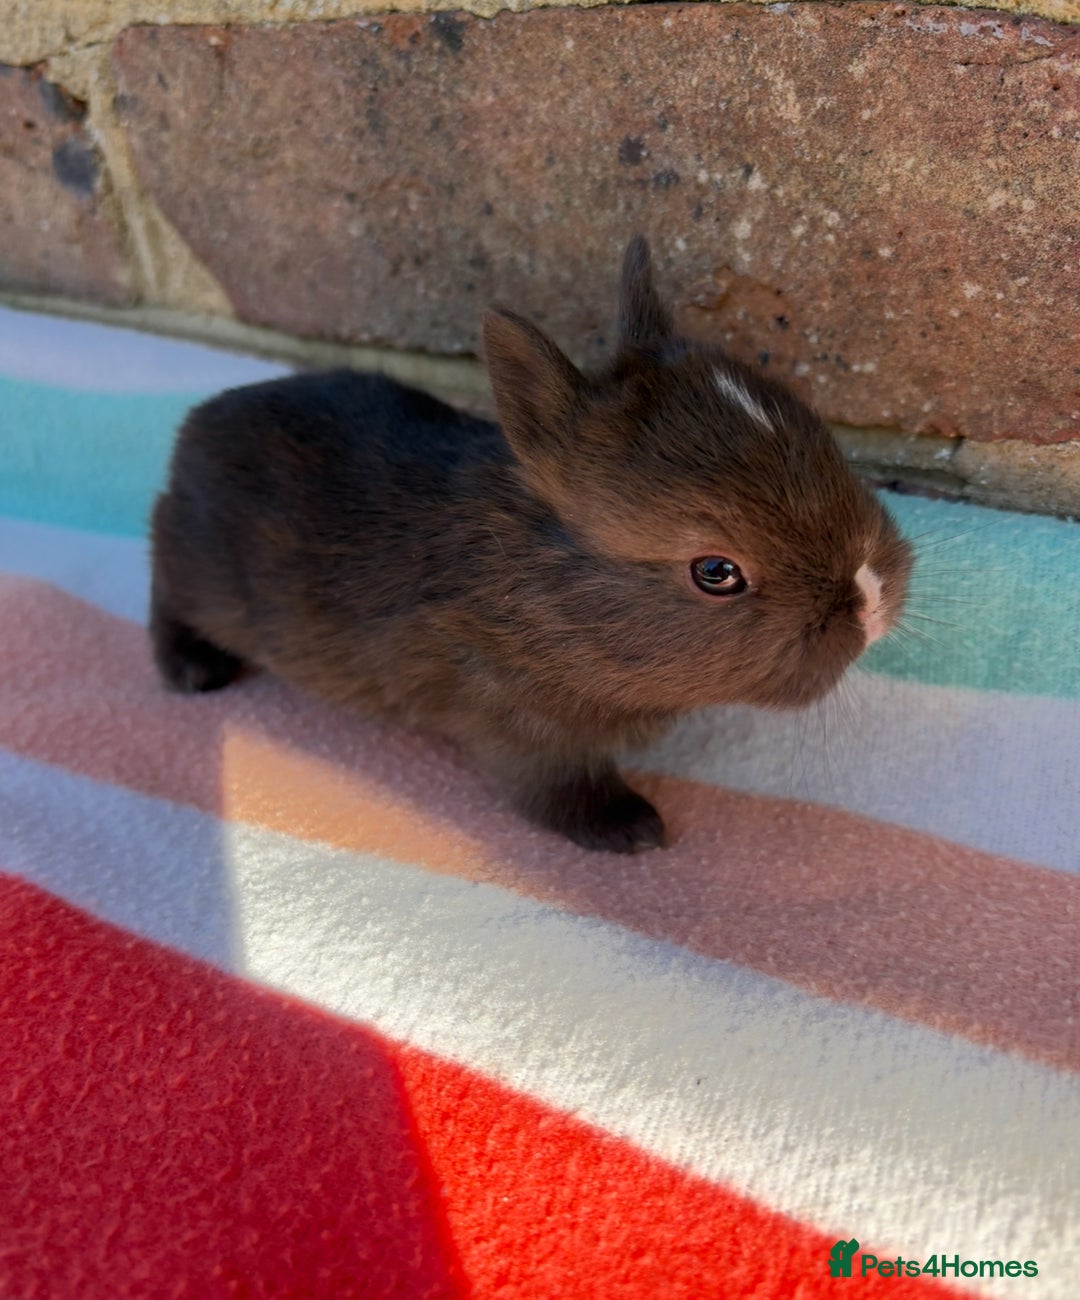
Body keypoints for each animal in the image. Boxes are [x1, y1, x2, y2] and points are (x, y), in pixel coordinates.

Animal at [150, 236, 912, 853]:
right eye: (716, 571)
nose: (871, 598)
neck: (540, 593)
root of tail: (191, 433)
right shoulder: (516, 730)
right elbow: (555, 790)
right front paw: (631, 830)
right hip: (199, 572)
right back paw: (192, 671)